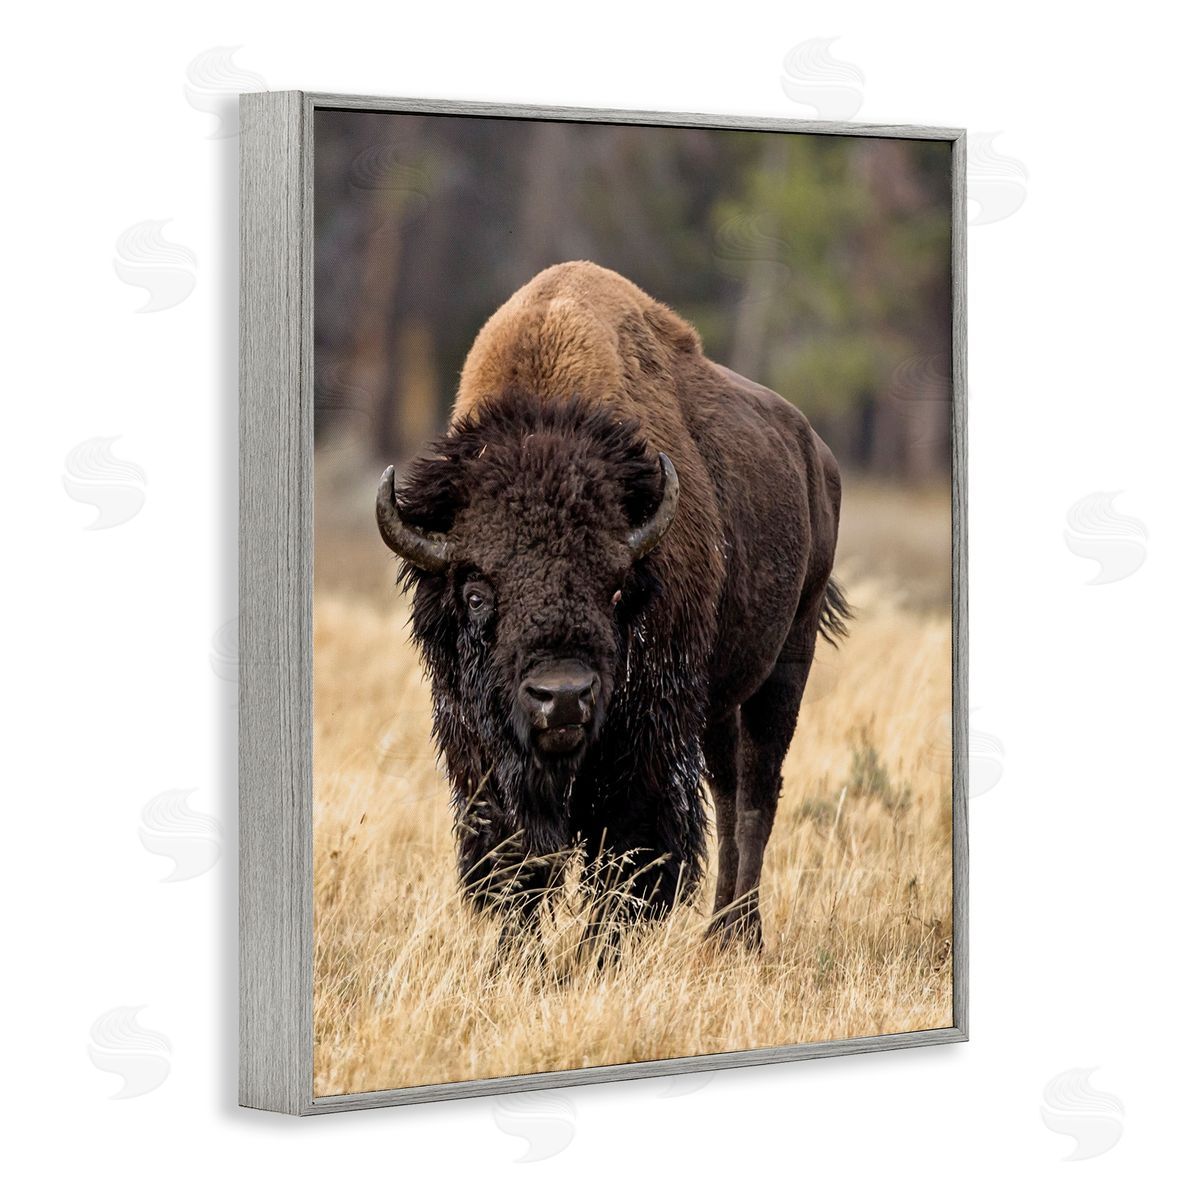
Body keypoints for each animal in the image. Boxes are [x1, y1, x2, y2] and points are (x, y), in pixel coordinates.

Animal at [377, 261, 847, 955]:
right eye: (477, 592)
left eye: (616, 587)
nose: (563, 696)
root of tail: (818, 453)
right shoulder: (481, 750)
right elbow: (516, 861)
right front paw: (521, 960)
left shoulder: (646, 740)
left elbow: (628, 857)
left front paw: (596, 956)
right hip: (719, 701)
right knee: (728, 791)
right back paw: (716, 934)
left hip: (789, 659)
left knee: (757, 795)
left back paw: (741, 936)